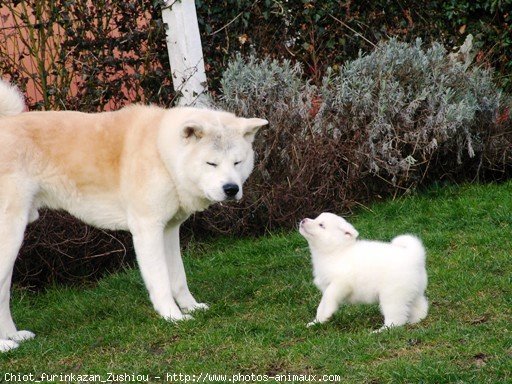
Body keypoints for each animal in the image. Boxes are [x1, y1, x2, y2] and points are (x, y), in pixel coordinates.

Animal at [0, 79, 268, 352]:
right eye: (211, 164)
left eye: (237, 162)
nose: (231, 189)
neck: (161, 153)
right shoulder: (147, 230)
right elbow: (161, 281)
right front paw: (173, 317)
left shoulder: (169, 230)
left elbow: (178, 278)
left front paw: (191, 307)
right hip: (10, 237)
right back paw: (5, 346)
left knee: (3, 295)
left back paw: (14, 336)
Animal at [300, 212, 428, 332]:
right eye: (315, 218)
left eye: (321, 225)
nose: (303, 220)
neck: (336, 252)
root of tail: (414, 256)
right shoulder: (328, 286)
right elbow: (322, 304)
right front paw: (316, 322)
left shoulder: (340, 283)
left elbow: (329, 297)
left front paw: (326, 314)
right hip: (413, 292)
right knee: (420, 307)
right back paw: (415, 321)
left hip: (392, 296)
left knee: (396, 319)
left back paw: (381, 330)